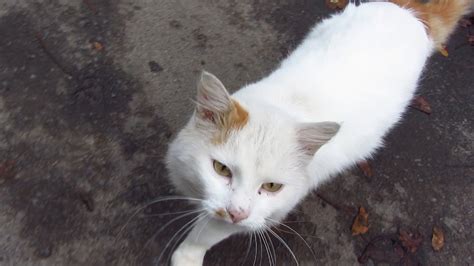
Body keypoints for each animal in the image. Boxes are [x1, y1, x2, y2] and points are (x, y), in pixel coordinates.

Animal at [165, 1, 468, 264]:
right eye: (221, 169)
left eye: (271, 187)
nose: (236, 212)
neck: (283, 106)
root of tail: (411, 12)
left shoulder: (265, 212)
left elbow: (209, 232)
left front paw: (189, 254)